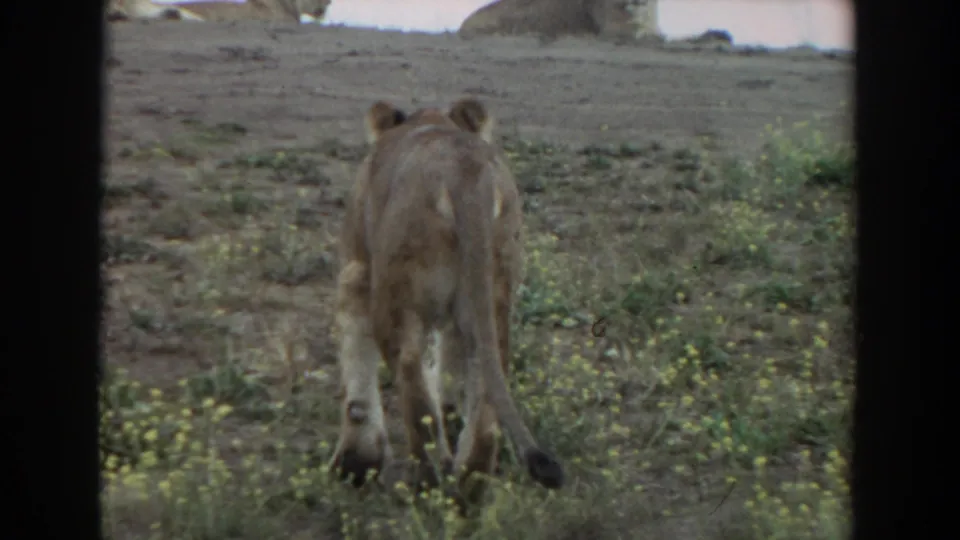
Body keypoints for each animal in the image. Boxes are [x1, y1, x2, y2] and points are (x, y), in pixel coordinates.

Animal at [329, 98, 565, 502]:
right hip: (492, 292)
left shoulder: (357, 272)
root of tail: (464, 174)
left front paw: (356, 464)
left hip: (394, 297)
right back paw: (467, 490)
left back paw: (429, 482)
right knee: (486, 396)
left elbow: (357, 370)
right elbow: (451, 369)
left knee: (412, 380)